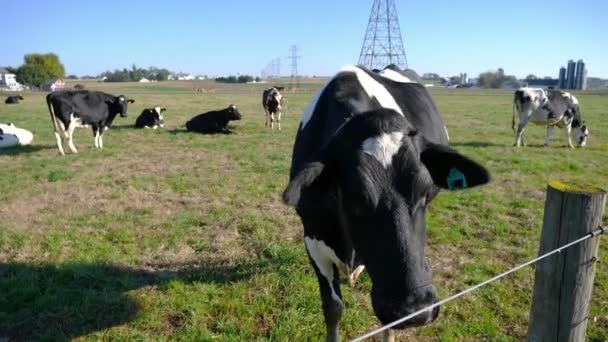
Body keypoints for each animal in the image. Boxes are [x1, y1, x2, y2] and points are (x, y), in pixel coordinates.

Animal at [284, 65, 490, 342]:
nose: (416, 310)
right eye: (355, 198)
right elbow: (333, 307)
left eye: (424, 191)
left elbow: (387, 323)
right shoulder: (313, 241)